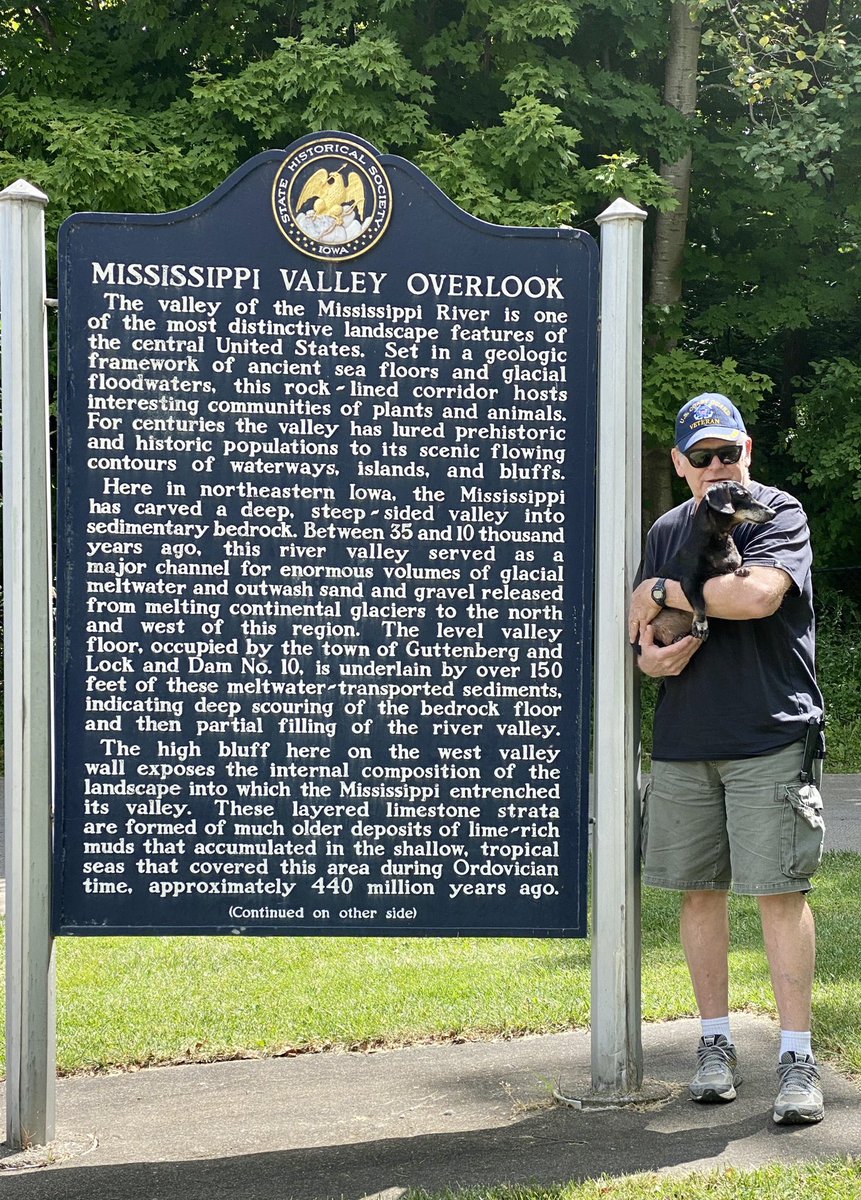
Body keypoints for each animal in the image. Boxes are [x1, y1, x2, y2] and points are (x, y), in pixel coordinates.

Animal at [652, 480, 777, 648]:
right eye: (743, 495)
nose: (773, 513)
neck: (719, 542)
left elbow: (734, 568)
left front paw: (742, 570)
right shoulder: (689, 581)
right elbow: (699, 602)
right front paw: (701, 624)